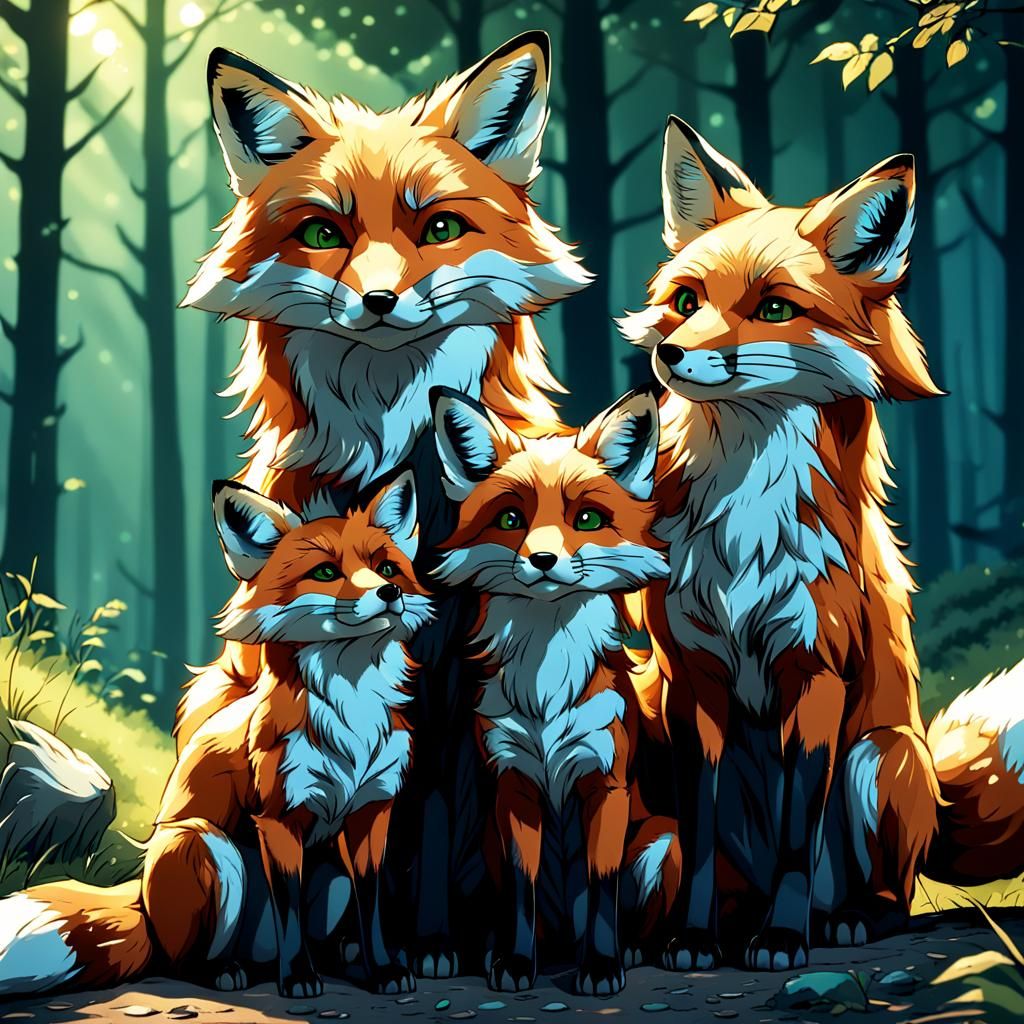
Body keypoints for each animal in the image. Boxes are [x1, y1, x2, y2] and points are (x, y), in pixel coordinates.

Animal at [0, 475, 433, 999]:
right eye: (327, 572)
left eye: (386, 567)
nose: (390, 592)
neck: (352, 715)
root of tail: (141, 900)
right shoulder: (278, 818)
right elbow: (288, 907)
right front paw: (299, 977)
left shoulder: (372, 812)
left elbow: (372, 910)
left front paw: (384, 970)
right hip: (207, 846)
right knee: (181, 960)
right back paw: (228, 972)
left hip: (331, 875)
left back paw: (331, 958)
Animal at [176, 32, 588, 974]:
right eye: (323, 233)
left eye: (438, 227)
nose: (378, 301)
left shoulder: (459, 683)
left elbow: (429, 818)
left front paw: (435, 945)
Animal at [431, 387, 676, 995]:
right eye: (510, 519)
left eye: (586, 518)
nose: (543, 560)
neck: (546, 688)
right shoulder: (512, 786)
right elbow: (523, 891)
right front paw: (517, 963)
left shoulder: (606, 784)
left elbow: (602, 885)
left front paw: (602, 966)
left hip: (659, 841)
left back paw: (634, 950)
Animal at [618, 117, 1024, 972]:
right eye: (686, 301)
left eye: (774, 307)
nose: (670, 356)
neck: (745, 527)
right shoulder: (694, 680)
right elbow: (704, 836)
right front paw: (693, 939)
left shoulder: (816, 672)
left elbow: (799, 836)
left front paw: (783, 936)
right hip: (656, 816)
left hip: (878, 761)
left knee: (889, 897)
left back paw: (844, 921)